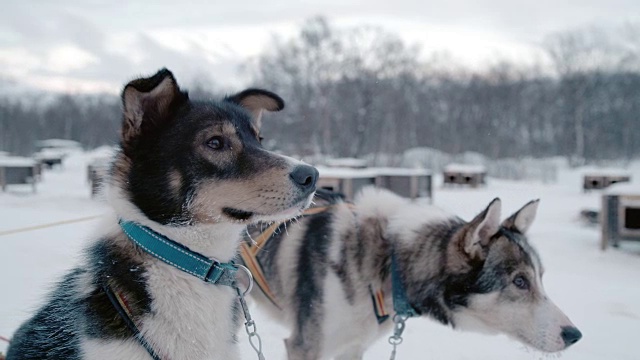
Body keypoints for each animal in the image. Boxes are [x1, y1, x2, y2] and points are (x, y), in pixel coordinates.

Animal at [245, 187, 580, 358]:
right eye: (519, 281)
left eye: (540, 278)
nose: (575, 335)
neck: (386, 260)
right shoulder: (304, 347)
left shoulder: (351, 348)